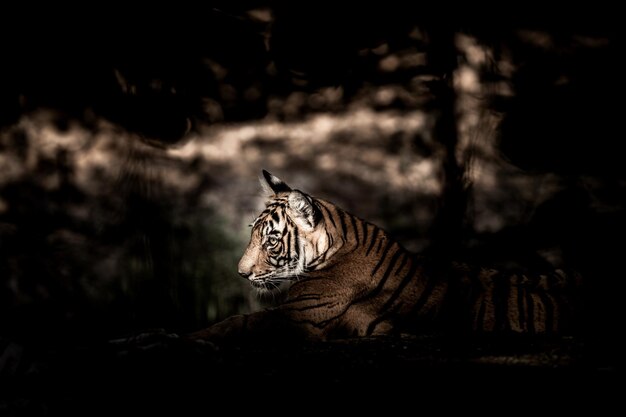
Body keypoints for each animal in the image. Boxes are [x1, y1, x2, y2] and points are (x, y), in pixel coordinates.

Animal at [186, 169, 580, 342]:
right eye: (252, 233)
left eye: (270, 242)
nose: (241, 274)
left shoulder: (298, 316)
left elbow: (237, 322)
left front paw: (186, 338)